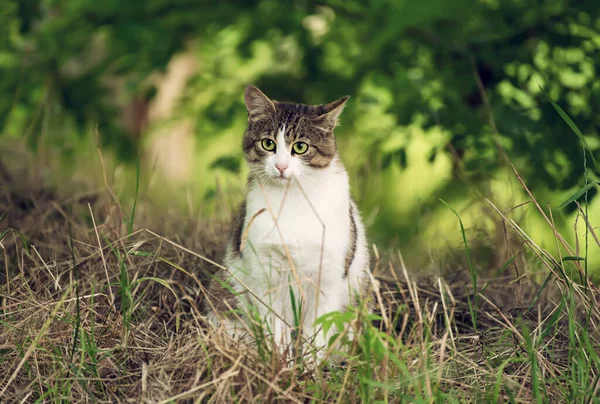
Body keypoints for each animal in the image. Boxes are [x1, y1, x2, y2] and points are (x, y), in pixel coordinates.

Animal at [207, 84, 376, 356]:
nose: (281, 166)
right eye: (268, 144)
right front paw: (279, 362)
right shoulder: (266, 276)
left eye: (300, 147)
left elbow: (316, 336)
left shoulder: (327, 279)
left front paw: (309, 366)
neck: (292, 200)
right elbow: (276, 331)